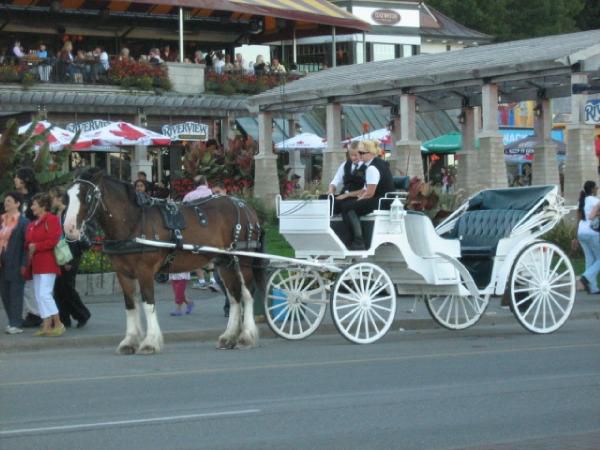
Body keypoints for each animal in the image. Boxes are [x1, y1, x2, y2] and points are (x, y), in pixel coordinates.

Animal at [62, 170, 264, 356]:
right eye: (67, 196)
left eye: (87, 196)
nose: (69, 229)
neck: (133, 221)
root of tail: (246, 206)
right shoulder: (123, 273)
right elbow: (130, 304)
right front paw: (130, 341)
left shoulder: (145, 271)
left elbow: (148, 303)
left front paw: (150, 342)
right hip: (224, 262)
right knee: (234, 296)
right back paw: (228, 337)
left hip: (243, 260)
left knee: (247, 294)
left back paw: (246, 337)